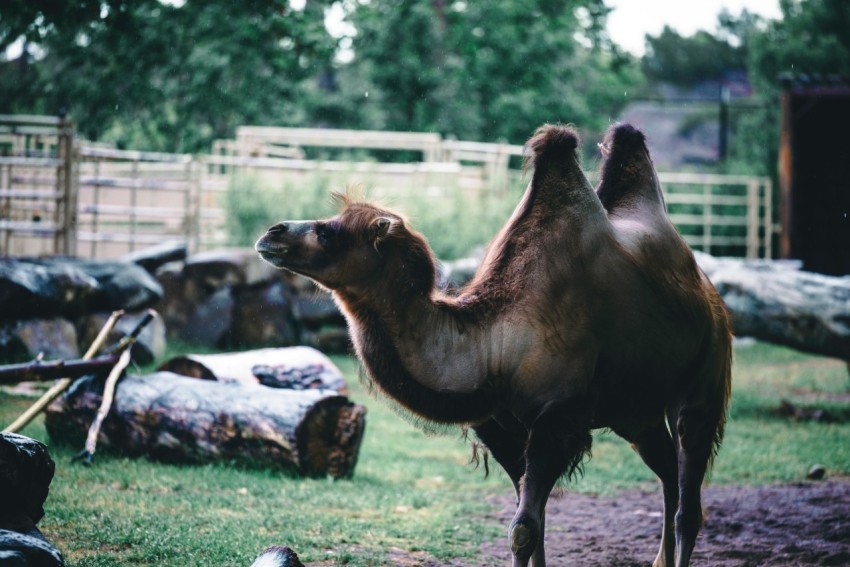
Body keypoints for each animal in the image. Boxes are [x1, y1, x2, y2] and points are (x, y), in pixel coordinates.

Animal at [255, 123, 732, 567]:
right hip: (635, 409)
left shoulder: (558, 419)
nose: (271, 233)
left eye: (331, 233)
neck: (494, 346)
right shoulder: (499, 424)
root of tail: (706, 287)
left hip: (706, 371)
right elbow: (534, 522)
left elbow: (523, 528)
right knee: (667, 474)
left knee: (688, 496)